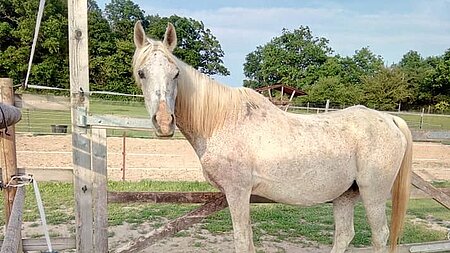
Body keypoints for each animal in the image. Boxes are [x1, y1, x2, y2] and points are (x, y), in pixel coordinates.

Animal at [132, 22, 414, 253]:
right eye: (142, 73)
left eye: (176, 73)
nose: (164, 122)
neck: (221, 121)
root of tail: (390, 119)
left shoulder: (237, 192)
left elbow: (242, 241)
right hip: (345, 195)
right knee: (344, 235)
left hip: (373, 193)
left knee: (379, 236)